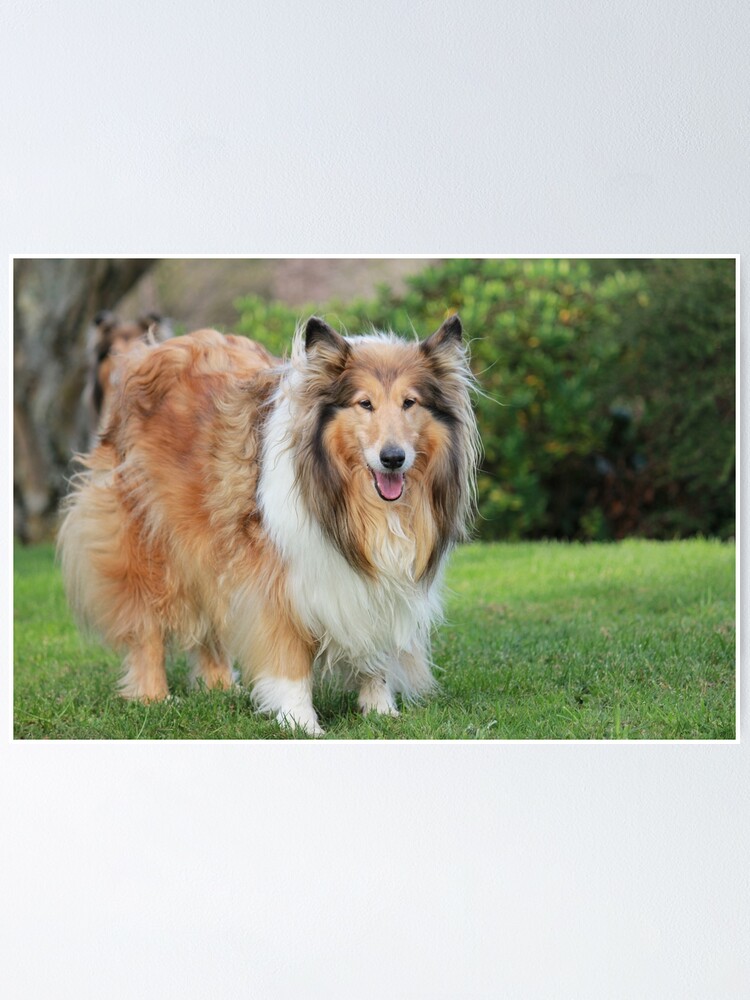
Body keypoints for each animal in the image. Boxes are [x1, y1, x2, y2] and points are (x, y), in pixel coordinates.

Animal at [58, 314, 482, 736]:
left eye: (410, 402)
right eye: (365, 404)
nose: (393, 458)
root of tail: (148, 350)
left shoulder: (376, 580)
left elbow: (372, 648)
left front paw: (379, 710)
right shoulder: (276, 576)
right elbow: (288, 657)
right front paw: (300, 722)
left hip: (213, 540)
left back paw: (219, 687)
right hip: (148, 540)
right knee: (146, 622)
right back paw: (154, 696)